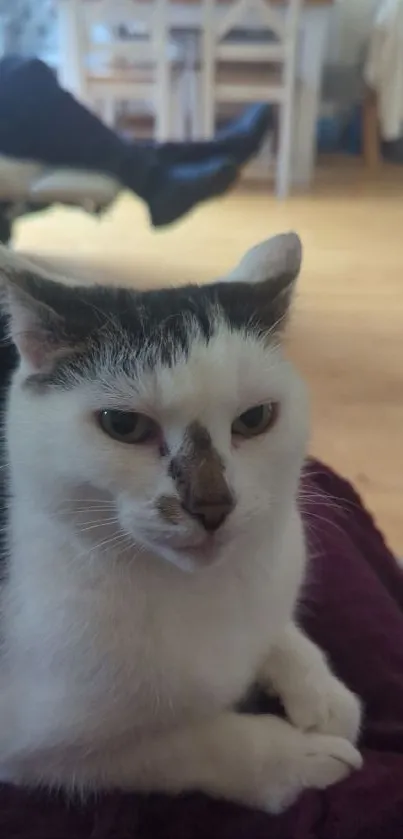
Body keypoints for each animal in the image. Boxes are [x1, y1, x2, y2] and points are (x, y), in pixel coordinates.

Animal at [0, 233, 362, 812]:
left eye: (255, 419)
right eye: (123, 425)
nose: (212, 505)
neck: (201, 591)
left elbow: (277, 628)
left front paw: (322, 691)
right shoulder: (34, 742)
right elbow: (192, 743)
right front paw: (299, 756)